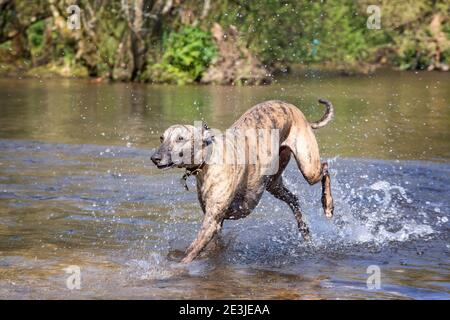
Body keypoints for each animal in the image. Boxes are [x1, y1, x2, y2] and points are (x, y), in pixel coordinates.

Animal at [151, 99, 334, 262]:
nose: (154, 158)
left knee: (325, 167)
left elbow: (190, 252)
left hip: (308, 167)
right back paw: (305, 230)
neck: (209, 158)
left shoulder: (211, 221)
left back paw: (328, 204)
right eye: (161, 138)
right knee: (294, 199)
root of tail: (292, 108)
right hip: (273, 183)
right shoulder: (216, 221)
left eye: (180, 138)